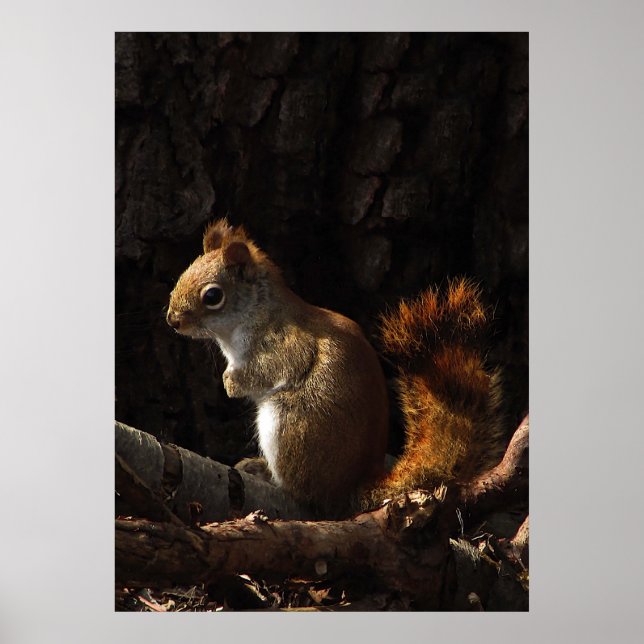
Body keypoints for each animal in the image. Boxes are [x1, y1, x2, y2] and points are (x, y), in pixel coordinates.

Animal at [167, 219, 505, 518]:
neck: (251, 314)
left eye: (213, 296)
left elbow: (271, 369)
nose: (172, 320)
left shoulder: (286, 344)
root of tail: (349, 490)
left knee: (304, 493)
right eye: (183, 273)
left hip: (290, 427)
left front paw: (231, 382)